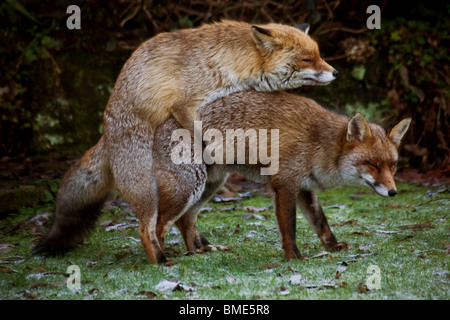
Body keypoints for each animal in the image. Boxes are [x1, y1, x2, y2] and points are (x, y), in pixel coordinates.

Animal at [32, 19, 338, 262]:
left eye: (319, 55)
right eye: (307, 60)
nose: (335, 72)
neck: (230, 63)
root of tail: (106, 132)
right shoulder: (186, 105)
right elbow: (200, 131)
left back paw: (197, 247)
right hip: (145, 186)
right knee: (147, 226)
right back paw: (160, 259)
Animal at [33, 90, 410, 262]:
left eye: (392, 165)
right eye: (372, 165)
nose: (393, 193)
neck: (320, 142)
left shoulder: (304, 187)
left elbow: (321, 222)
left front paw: (332, 247)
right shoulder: (284, 185)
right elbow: (289, 229)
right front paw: (293, 259)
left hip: (209, 186)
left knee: (184, 223)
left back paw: (197, 251)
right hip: (189, 186)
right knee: (151, 226)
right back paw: (161, 260)